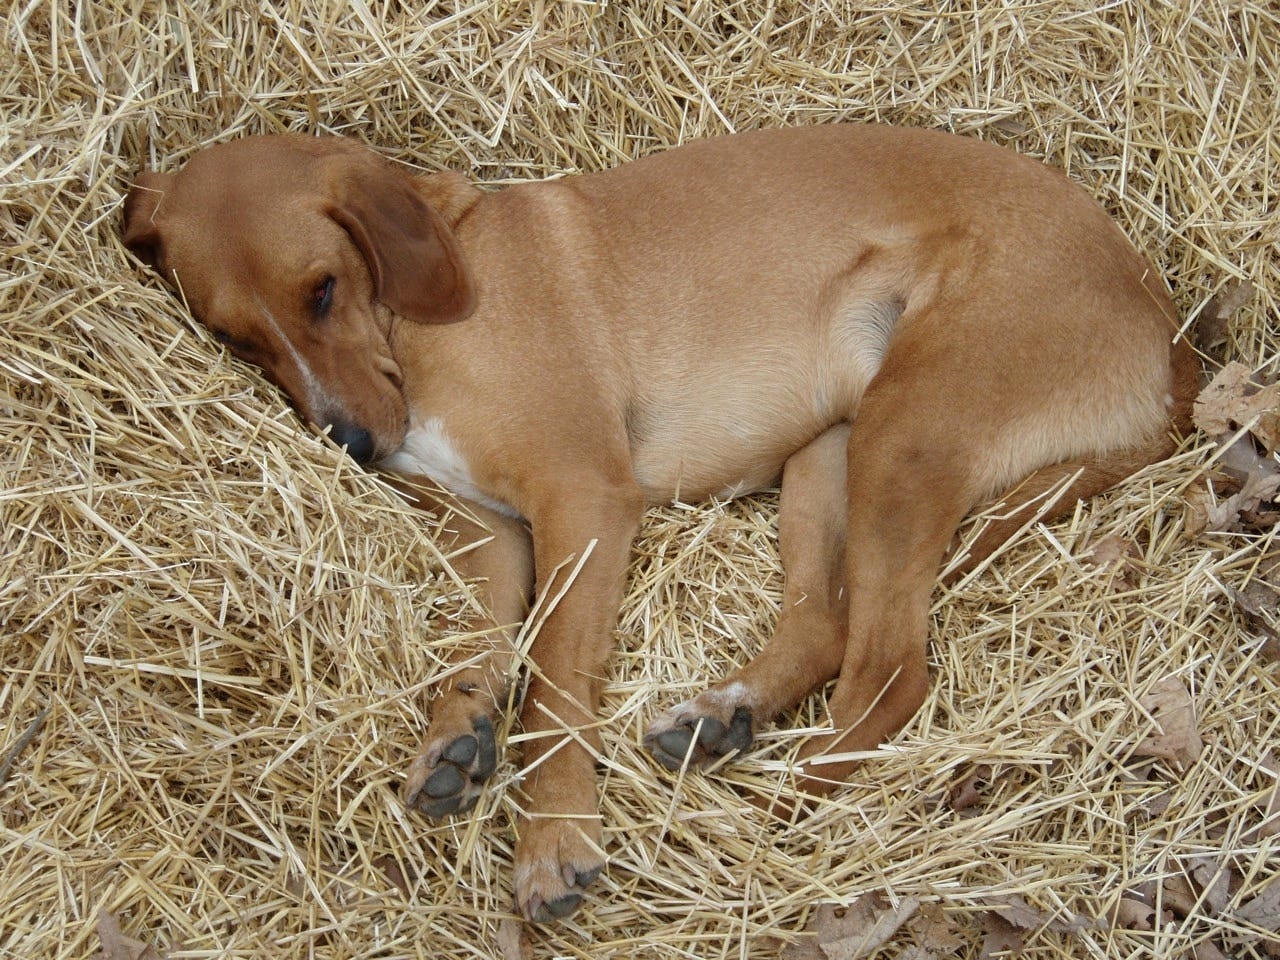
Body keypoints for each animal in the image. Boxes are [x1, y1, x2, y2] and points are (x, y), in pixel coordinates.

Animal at [122, 124, 1198, 921]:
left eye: (322, 289)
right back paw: (726, 719)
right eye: (234, 337)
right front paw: (454, 741)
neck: (426, 313)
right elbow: (471, 656)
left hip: (907, 435)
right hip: (829, 458)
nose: (347, 444)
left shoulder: (584, 502)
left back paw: (772, 810)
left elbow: (553, 687)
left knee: (893, 670)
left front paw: (553, 841)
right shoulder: (487, 534)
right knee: (828, 626)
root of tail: (1168, 331)